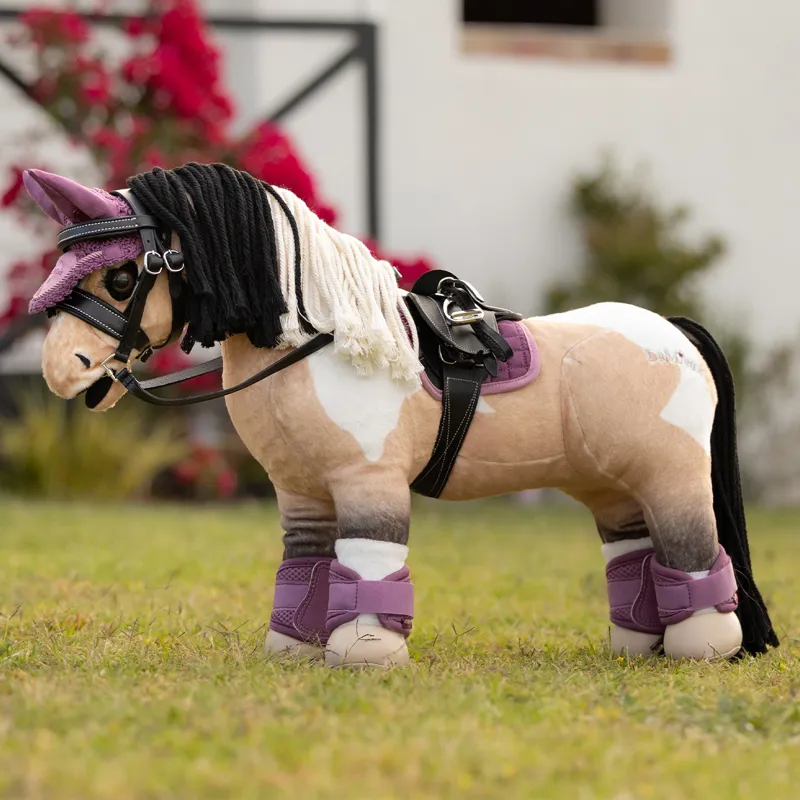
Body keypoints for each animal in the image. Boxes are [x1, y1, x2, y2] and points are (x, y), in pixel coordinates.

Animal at [21, 163, 778, 668]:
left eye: (123, 276)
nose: (61, 370)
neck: (321, 341)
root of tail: (674, 333)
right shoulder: (303, 492)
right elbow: (306, 571)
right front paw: (292, 649)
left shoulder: (368, 482)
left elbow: (369, 564)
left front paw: (364, 652)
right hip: (613, 486)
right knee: (634, 555)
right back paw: (634, 647)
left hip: (672, 477)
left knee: (694, 551)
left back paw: (702, 647)